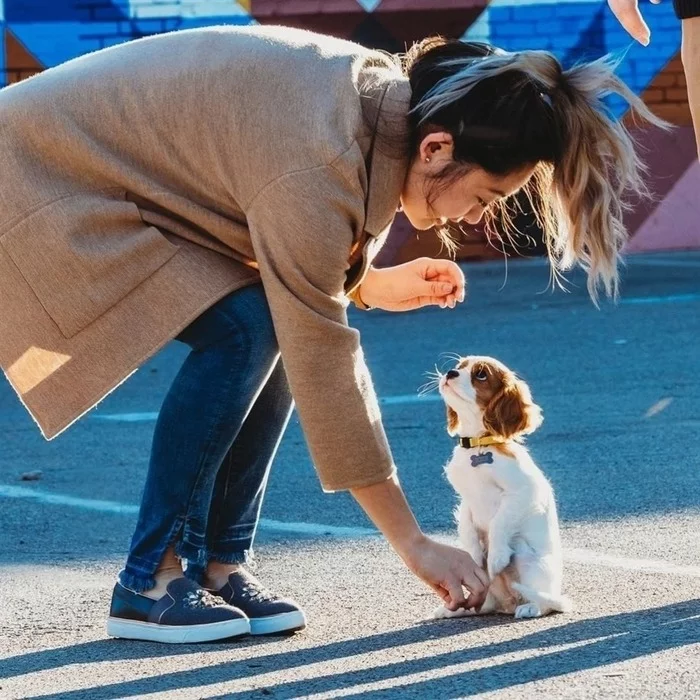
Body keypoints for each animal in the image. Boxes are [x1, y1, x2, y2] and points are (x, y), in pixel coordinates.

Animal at [434, 356, 572, 616]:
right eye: (460, 365)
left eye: (480, 375)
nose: (450, 372)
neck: (478, 444)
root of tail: (509, 604)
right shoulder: (465, 499)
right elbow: (466, 526)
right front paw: (474, 554)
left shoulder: (522, 493)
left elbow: (499, 523)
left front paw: (496, 557)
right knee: (484, 604)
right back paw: (454, 610)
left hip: (528, 560)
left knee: (545, 604)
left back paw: (530, 607)